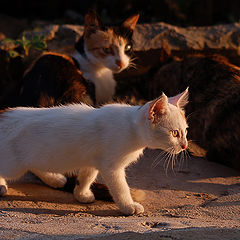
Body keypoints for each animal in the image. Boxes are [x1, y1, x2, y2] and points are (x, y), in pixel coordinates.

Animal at [0, 89, 188, 215]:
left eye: (186, 131)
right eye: (174, 133)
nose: (185, 145)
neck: (131, 128)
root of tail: (3, 113)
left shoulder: (94, 159)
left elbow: (86, 177)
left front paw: (81, 194)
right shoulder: (111, 167)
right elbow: (121, 188)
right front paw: (128, 206)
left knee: (34, 165)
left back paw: (55, 178)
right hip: (13, 165)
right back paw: (2, 186)